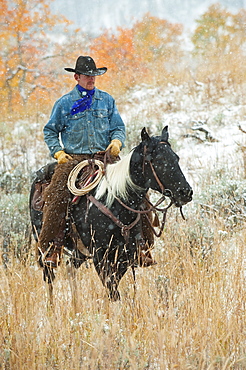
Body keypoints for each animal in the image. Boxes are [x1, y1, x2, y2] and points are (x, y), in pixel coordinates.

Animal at [29, 127, 193, 300]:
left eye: (176, 158)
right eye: (159, 160)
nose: (186, 192)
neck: (116, 201)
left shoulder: (125, 255)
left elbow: (114, 289)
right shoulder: (99, 255)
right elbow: (112, 291)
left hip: (79, 251)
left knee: (70, 268)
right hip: (44, 241)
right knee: (49, 276)